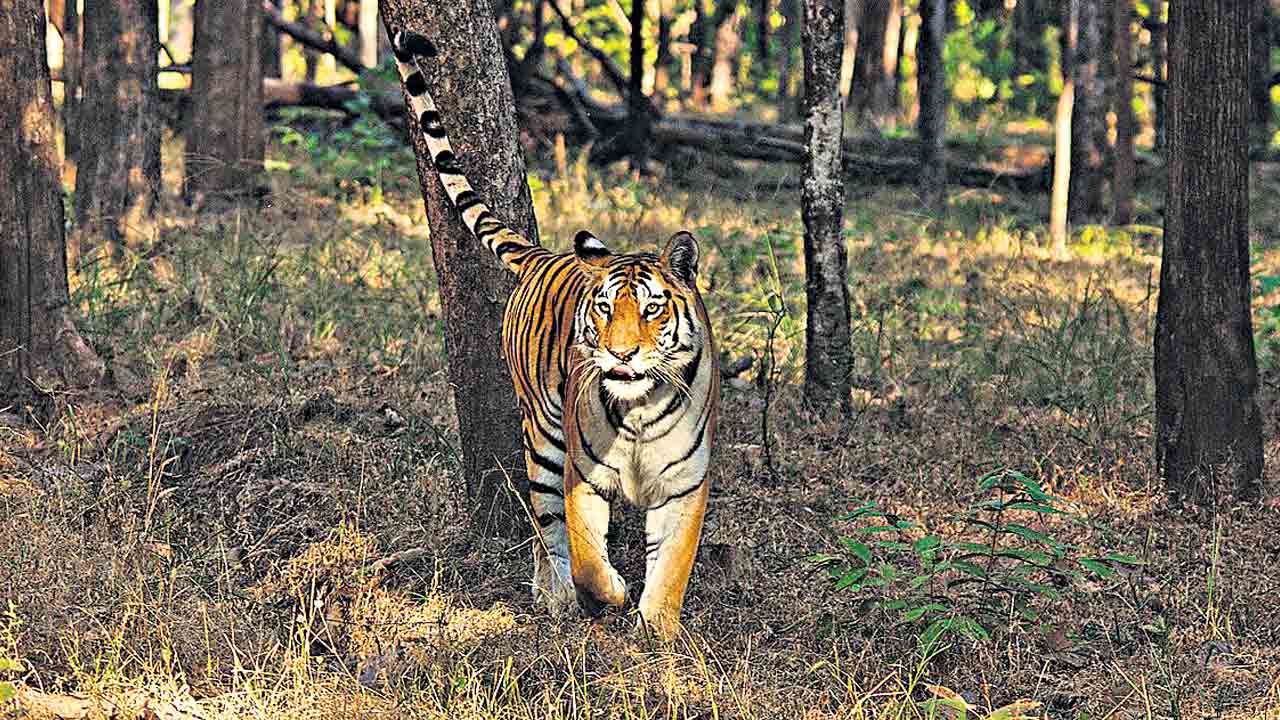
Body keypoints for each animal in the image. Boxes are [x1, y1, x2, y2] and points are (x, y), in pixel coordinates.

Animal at [390, 30, 720, 638]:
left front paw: (659, 632)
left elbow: (671, 566)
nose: (620, 353)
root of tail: (544, 256)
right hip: (541, 438)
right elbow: (586, 551)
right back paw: (555, 594)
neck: (639, 410)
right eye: (606, 309)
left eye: (652, 309)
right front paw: (609, 594)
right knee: (546, 529)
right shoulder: (581, 474)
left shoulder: (684, 484)